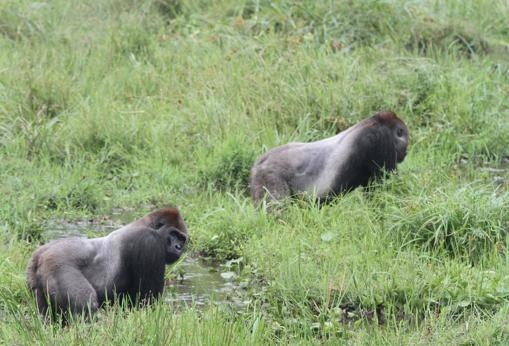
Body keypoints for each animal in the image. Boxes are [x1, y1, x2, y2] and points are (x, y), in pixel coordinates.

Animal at [26, 207, 189, 320]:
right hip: (57, 264)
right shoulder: (149, 242)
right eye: (173, 234)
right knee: (86, 306)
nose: (178, 247)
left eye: (182, 239)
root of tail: (40, 256)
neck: (147, 224)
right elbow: (147, 302)